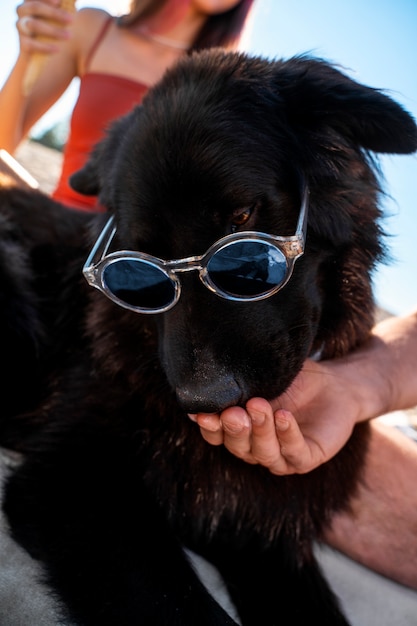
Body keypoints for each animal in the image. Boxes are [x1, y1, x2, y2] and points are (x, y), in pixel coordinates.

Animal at [0, 51, 414, 620]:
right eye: (137, 265)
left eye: (242, 218)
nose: (204, 401)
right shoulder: (75, 479)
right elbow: (185, 606)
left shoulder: (262, 537)